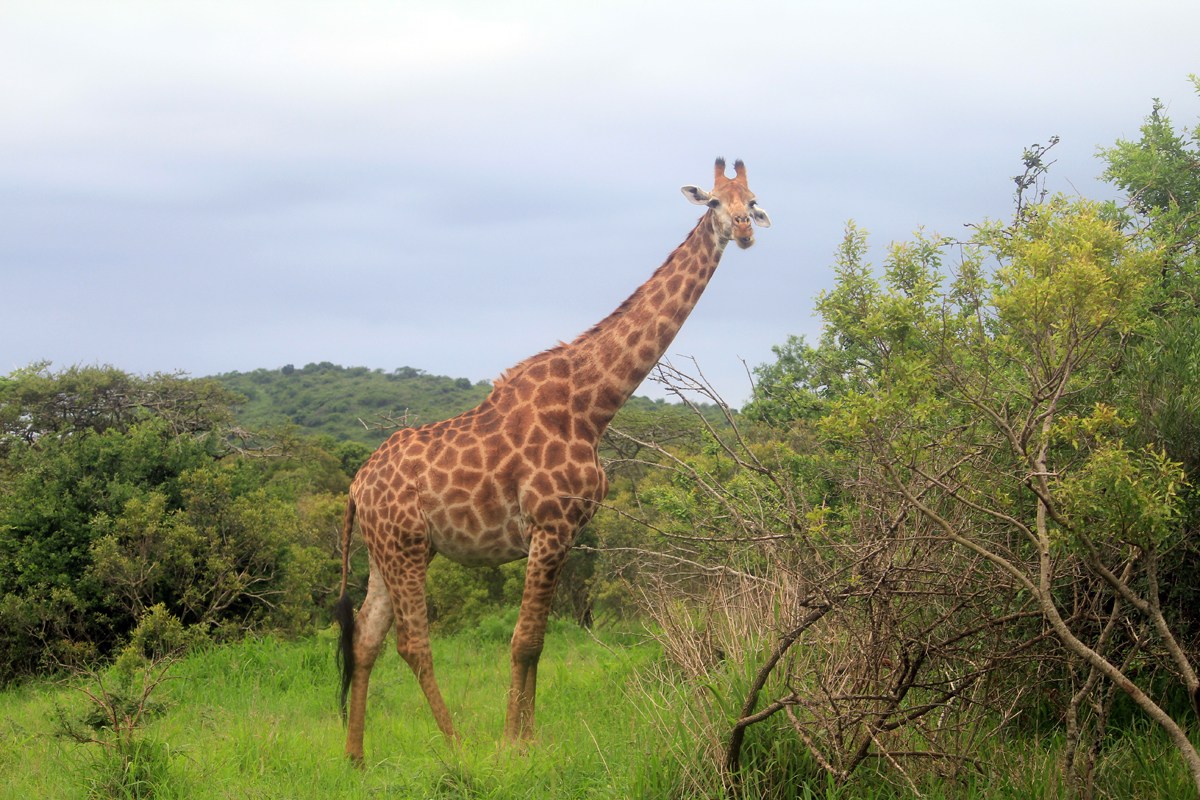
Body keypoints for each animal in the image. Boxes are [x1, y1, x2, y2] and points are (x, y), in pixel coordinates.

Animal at [336, 158, 768, 762]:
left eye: (752, 201)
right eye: (712, 202)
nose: (746, 231)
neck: (593, 404)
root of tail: (356, 486)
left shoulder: (567, 532)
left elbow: (538, 642)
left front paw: (529, 737)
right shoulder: (549, 524)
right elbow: (524, 641)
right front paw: (511, 745)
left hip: (386, 552)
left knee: (366, 640)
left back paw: (355, 758)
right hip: (406, 547)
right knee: (412, 642)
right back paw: (458, 746)